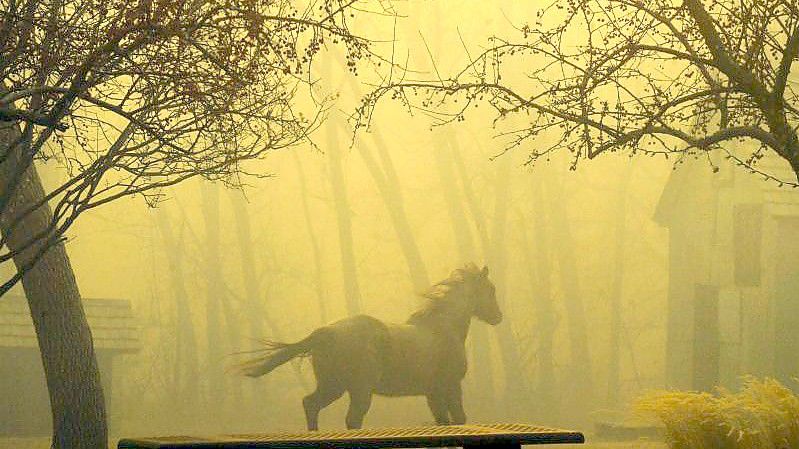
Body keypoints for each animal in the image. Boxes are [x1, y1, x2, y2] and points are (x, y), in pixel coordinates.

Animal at [239, 264, 500, 428]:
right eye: (491, 289)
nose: (498, 317)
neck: (443, 329)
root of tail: (326, 332)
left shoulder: (433, 392)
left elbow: (443, 421)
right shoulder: (451, 386)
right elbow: (459, 418)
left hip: (333, 386)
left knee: (311, 405)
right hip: (359, 390)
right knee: (352, 419)